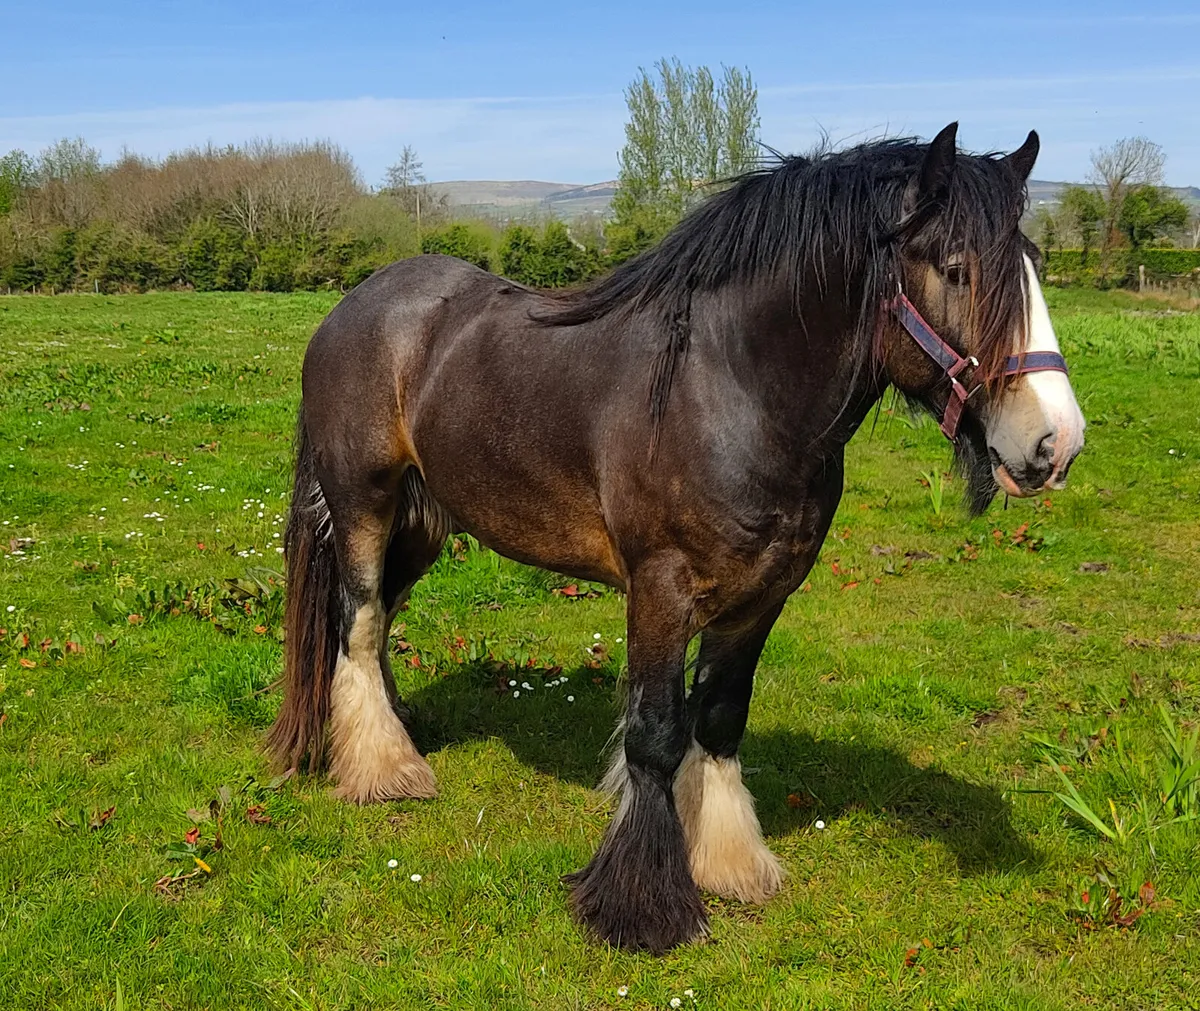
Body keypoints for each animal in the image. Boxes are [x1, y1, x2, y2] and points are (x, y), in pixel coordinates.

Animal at [266, 122, 1085, 953]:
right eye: (955, 268)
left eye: (1034, 264)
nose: (1055, 442)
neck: (730, 389)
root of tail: (353, 306)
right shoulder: (660, 587)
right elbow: (655, 735)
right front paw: (643, 904)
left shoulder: (761, 595)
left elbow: (718, 720)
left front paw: (728, 862)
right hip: (363, 502)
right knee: (359, 619)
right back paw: (383, 772)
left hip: (424, 520)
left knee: (375, 622)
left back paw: (392, 736)